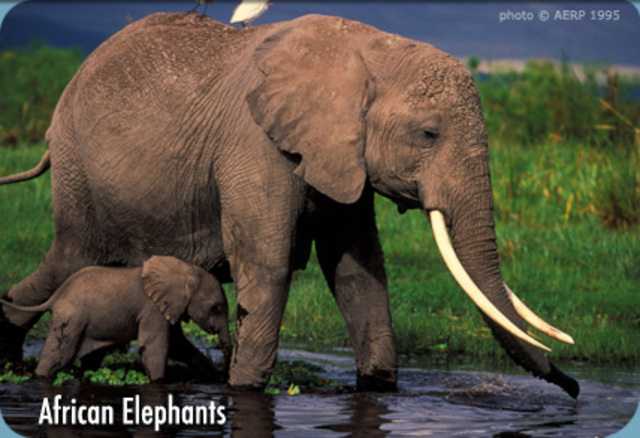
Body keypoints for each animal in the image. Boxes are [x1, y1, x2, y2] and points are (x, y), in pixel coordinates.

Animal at [0, 256, 231, 381]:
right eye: (215, 308)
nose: (224, 373)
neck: (184, 270)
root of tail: (56, 295)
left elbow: (178, 345)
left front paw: (215, 378)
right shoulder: (152, 309)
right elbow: (153, 346)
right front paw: (159, 382)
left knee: (90, 361)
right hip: (71, 319)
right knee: (58, 356)